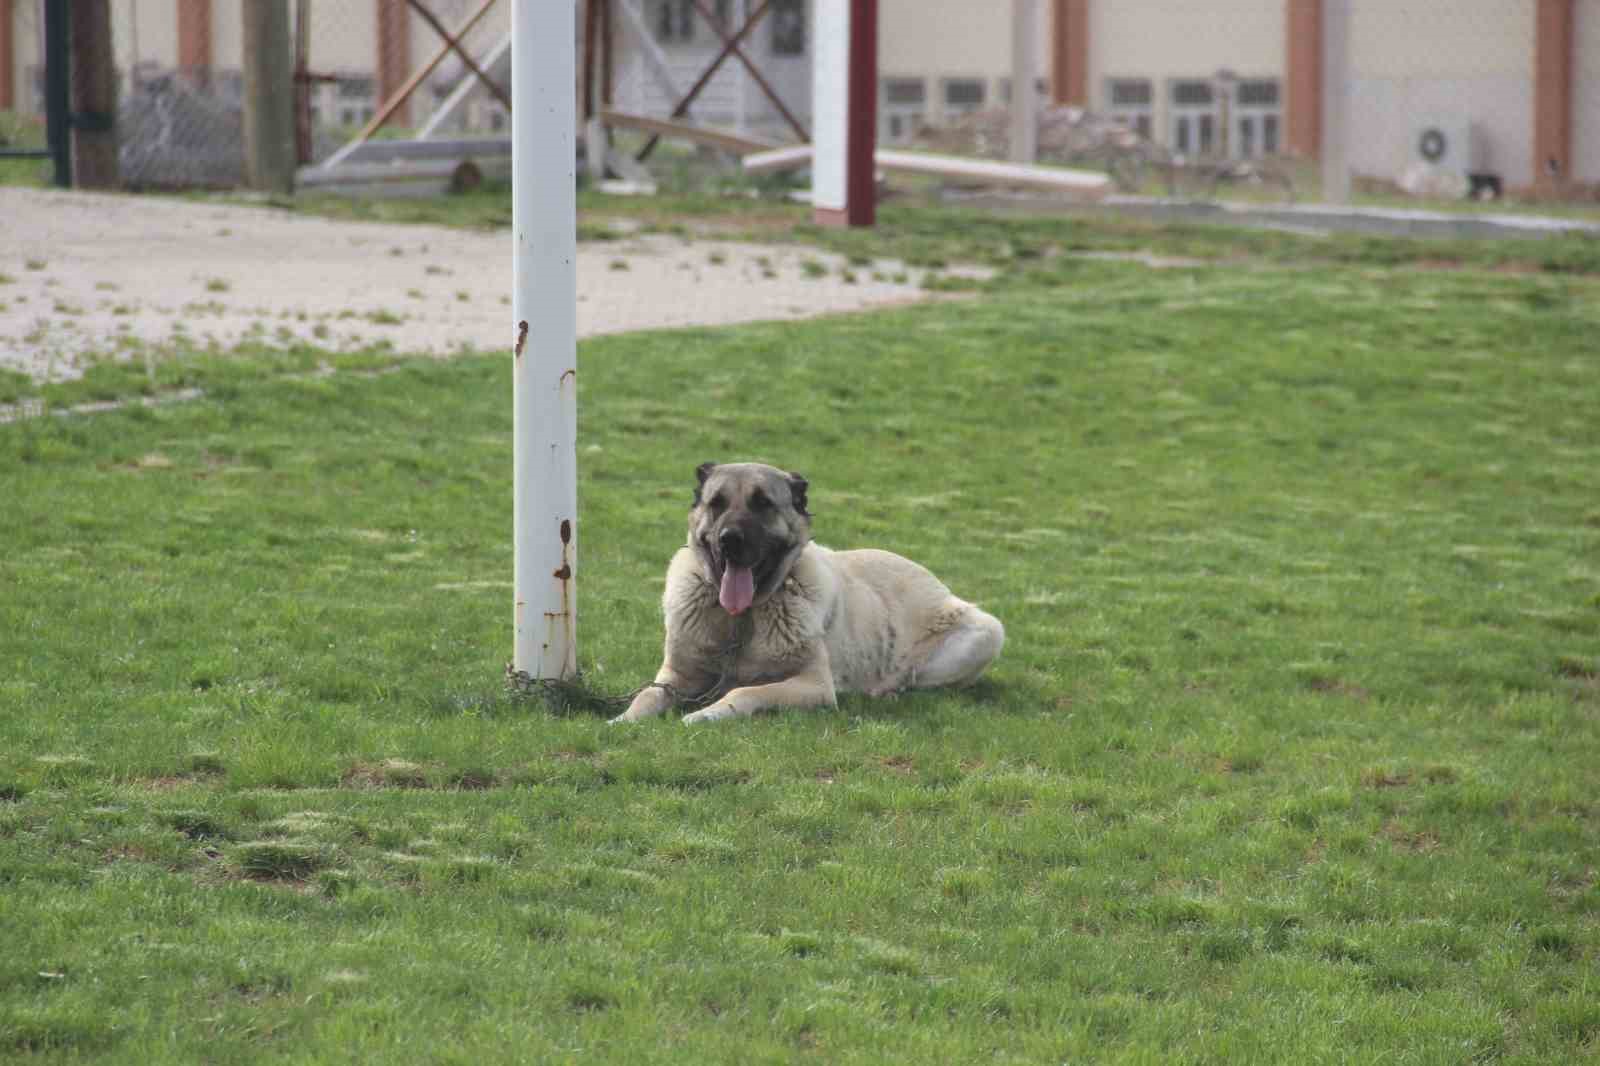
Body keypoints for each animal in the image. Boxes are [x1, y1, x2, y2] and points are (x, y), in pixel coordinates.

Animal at [608, 457, 998, 723]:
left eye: (763, 503)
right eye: (716, 503)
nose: (729, 540)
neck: (741, 619)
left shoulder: (814, 685)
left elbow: (745, 691)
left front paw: (706, 713)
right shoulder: (676, 676)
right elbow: (647, 695)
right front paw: (623, 719)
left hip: (987, 633)